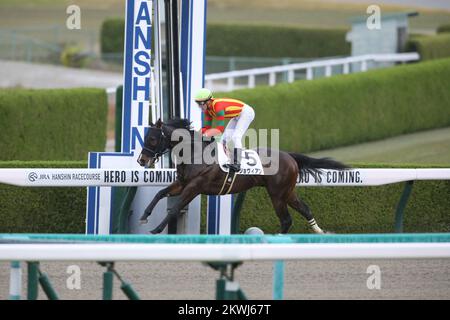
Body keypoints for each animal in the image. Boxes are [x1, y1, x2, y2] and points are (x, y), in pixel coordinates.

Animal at [137, 119, 348, 234]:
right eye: (146, 137)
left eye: (153, 139)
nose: (141, 160)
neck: (195, 155)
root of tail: (290, 156)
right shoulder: (182, 183)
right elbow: (160, 194)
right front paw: (144, 216)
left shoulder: (195, 187)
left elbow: (175, 209)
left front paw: (156, 229)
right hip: (287, 192)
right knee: (305, 209)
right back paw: (320, 231)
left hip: (278, 194)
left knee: (286, 219)